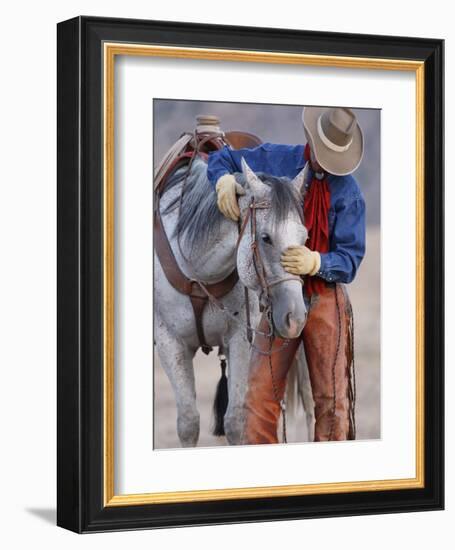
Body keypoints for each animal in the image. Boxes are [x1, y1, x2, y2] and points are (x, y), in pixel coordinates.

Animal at [155, 158, 312, 448]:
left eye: (304, 239)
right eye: (265, 238)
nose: (295, 318)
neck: (198, 273)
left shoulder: (240, 339)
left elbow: (235, 422)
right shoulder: (170, 342)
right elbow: (188, 423)